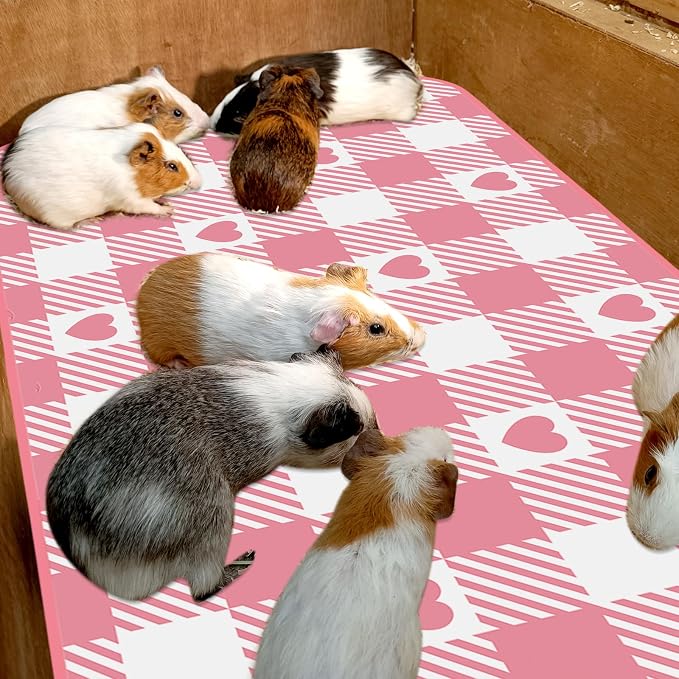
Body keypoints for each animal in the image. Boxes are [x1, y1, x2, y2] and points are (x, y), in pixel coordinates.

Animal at [1, 123, 201, 230]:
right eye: (172, 166)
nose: (198, 182)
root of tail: (7, 174)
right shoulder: (131, 200)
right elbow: (150, 207)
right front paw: (169, 209)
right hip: (55, 216)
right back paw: (92, 220)